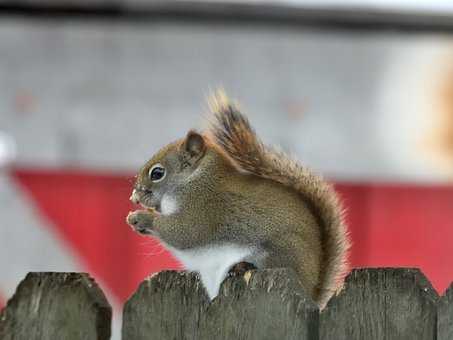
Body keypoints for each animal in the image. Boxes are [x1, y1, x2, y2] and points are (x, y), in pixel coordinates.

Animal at [127, 90, 350, 308]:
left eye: (157, 173)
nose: (135, 195)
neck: (195, 179)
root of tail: (312, 290)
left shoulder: (203, 208)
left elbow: (184, 232)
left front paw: (140, 217)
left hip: (282, 252)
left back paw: (244, 266)